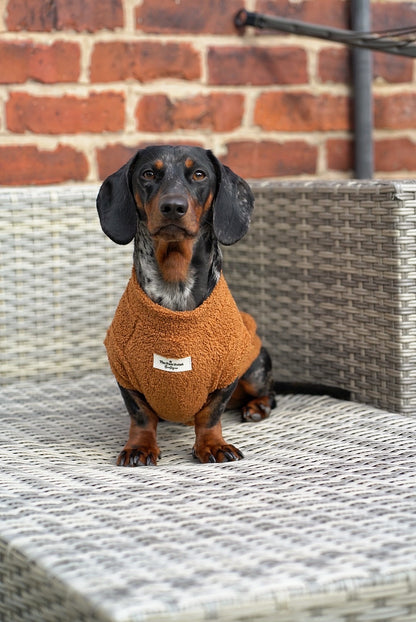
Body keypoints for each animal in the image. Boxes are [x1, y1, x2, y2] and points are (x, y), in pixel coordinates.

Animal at [96, 146, 274, 466]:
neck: (174, 286)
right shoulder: (125, 372)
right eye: (148, 173)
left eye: (199, 174)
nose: (173, 207)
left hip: (255, 366)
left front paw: (212, 444)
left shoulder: (227, 371)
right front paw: (139, 447)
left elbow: (210, 415)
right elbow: (141, 416)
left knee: (270, 394)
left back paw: (257, 407)